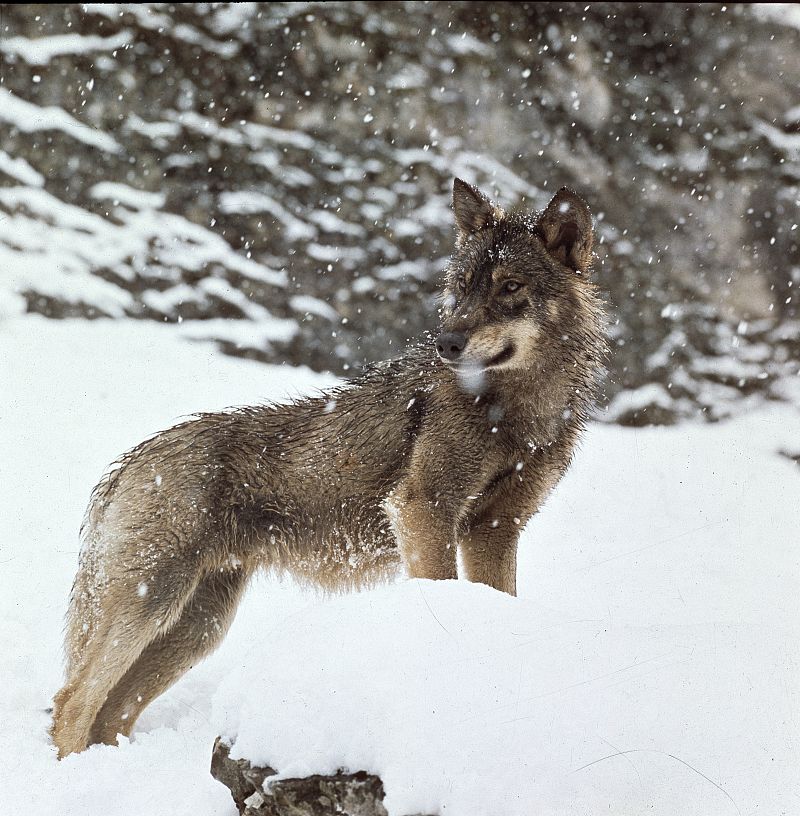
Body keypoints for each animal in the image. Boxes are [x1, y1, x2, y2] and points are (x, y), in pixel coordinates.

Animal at [50, 179, 606, 758]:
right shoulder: (423, 510)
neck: (515, 413)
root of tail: (127, 464)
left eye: (510, 286)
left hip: (198, 629)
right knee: (73, 702)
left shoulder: (494, 529)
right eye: (461, 287)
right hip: (155, 605)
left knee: (110, 711)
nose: (447, 344)